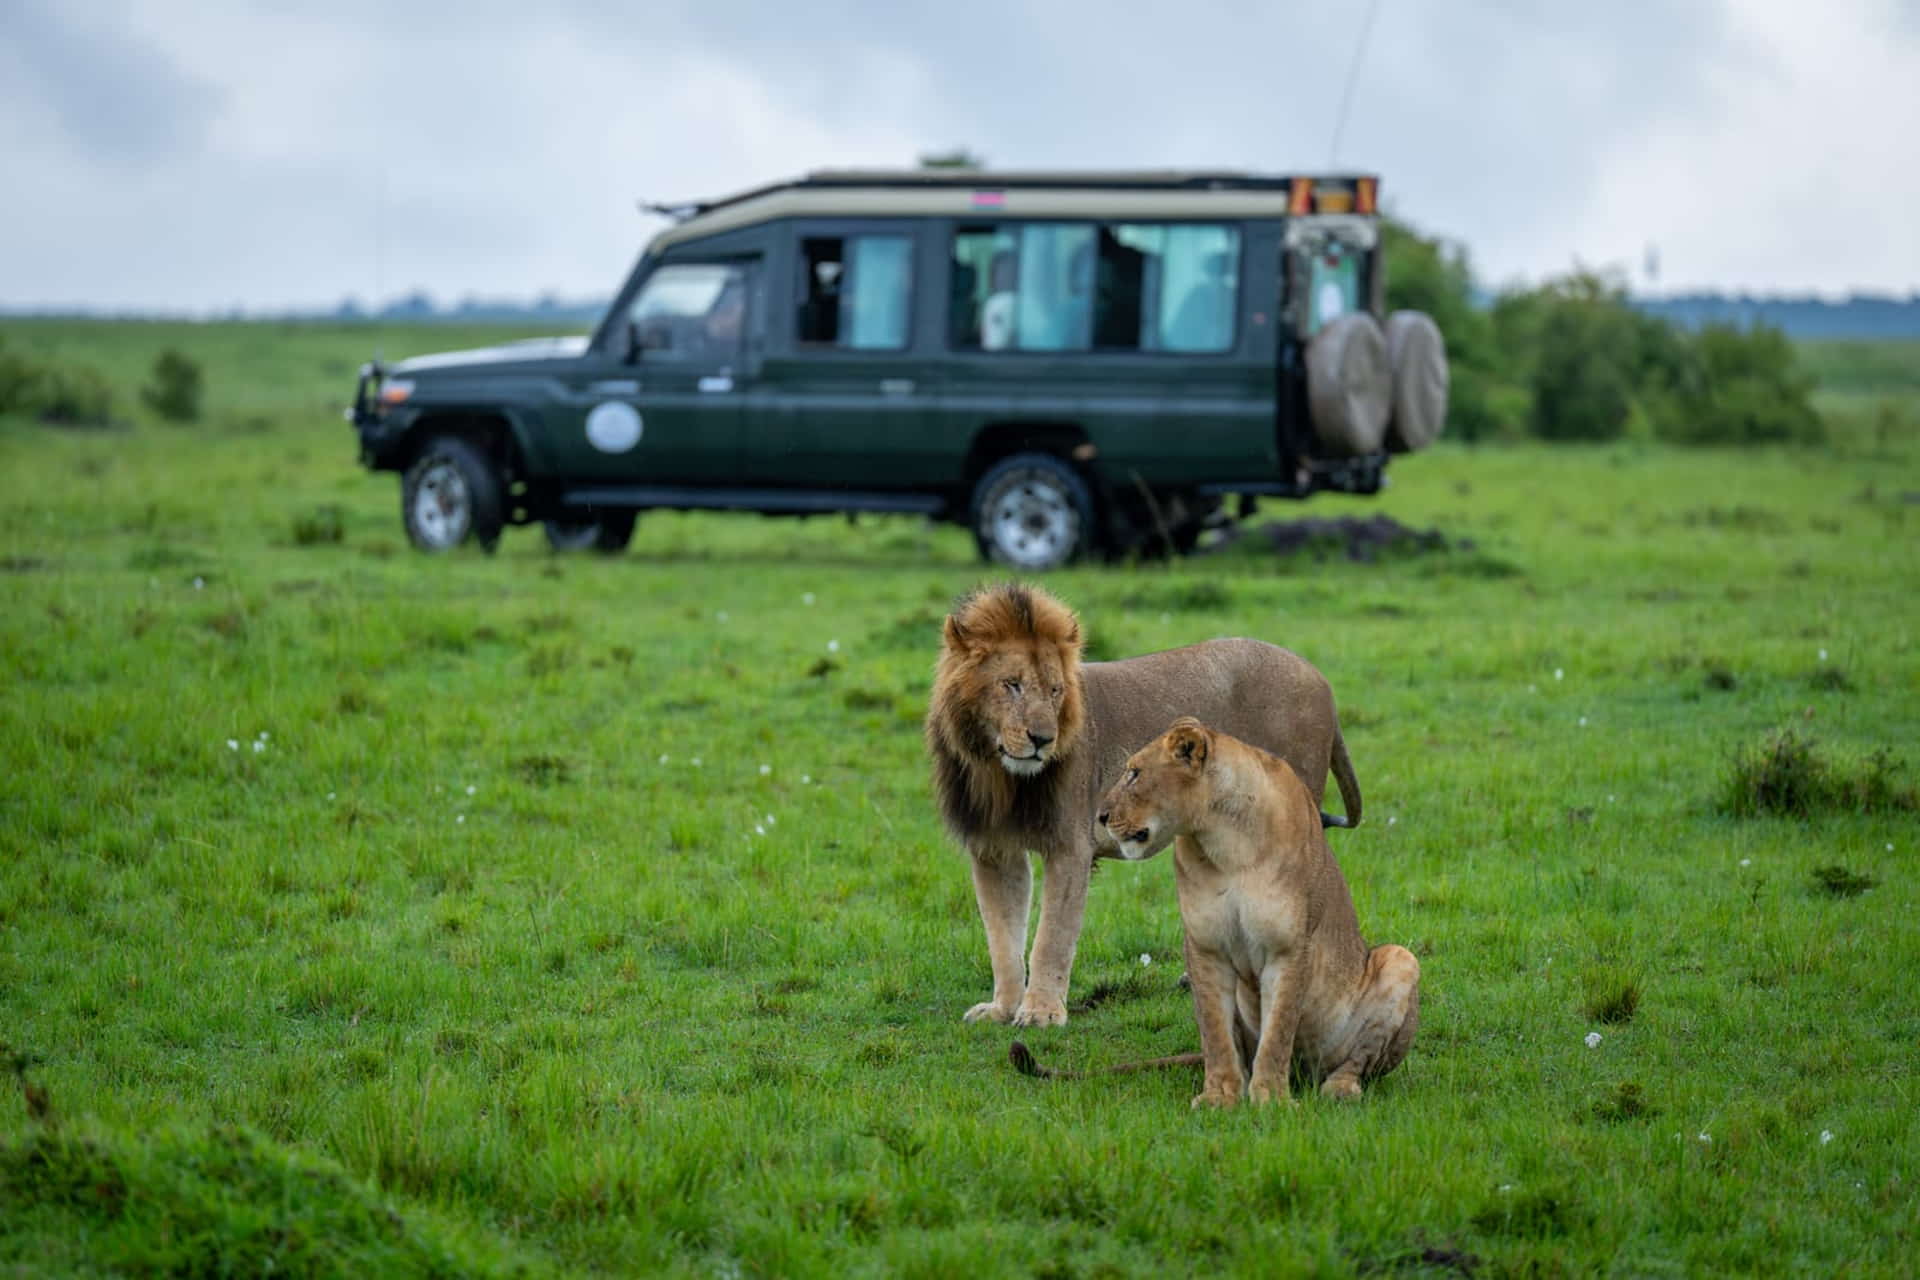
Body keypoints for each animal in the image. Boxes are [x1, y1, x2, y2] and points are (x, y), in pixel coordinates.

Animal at [927, 583, 1362, 1028]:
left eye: (1054, 690)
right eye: (1011, 684)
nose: (1043, 739)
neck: (999, 775)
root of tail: (1319, 678)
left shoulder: (1071, 846)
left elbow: (1051, 936)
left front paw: (1041, 1013)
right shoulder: (993, 850)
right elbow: (1002, 937)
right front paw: (1002, 1009)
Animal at [1085, 717, 1419, 1107]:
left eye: (1135, 773)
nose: (1101, 816)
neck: (1225, 840)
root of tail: (1306, 1073)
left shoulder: (1288, 948)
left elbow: (1278, 1031)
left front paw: (1271, 1099)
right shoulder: (1205, 947)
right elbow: (1215, 1032)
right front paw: (1220, 1096)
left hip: (1401, 959)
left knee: (1358, 1061)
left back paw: (1340, 1088)